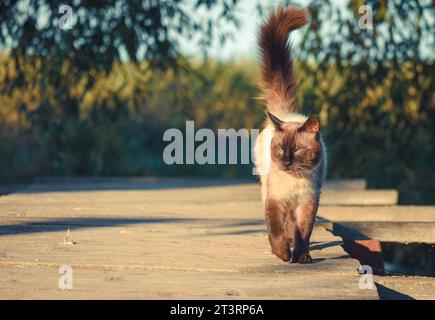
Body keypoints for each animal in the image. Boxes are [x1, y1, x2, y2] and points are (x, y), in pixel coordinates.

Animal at [255, 6, 328, 264]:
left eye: (297, 150)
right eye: (279, 150)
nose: (286, 162)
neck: (294, 180)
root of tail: (285, 113)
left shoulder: (307, 204)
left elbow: (303, 232)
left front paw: (301, 256)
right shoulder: (276, 201)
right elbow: (277, 230)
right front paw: (283, 254)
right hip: (266, 189)